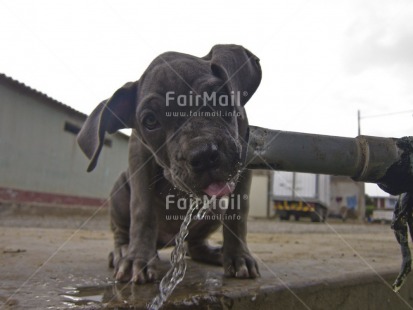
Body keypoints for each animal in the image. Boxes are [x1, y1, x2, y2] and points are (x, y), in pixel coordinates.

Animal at [77, 44, 260, 284]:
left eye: (218, 98)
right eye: (150, 121)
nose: (203, 156)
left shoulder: (243, 158)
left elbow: (238, 214)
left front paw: (239, 257)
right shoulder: (139, 156)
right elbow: (142, 209)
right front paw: (138, 259)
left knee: (194, 245)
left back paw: (214, 253)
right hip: (119, 190)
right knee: (121, 232)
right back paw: (124, 251)